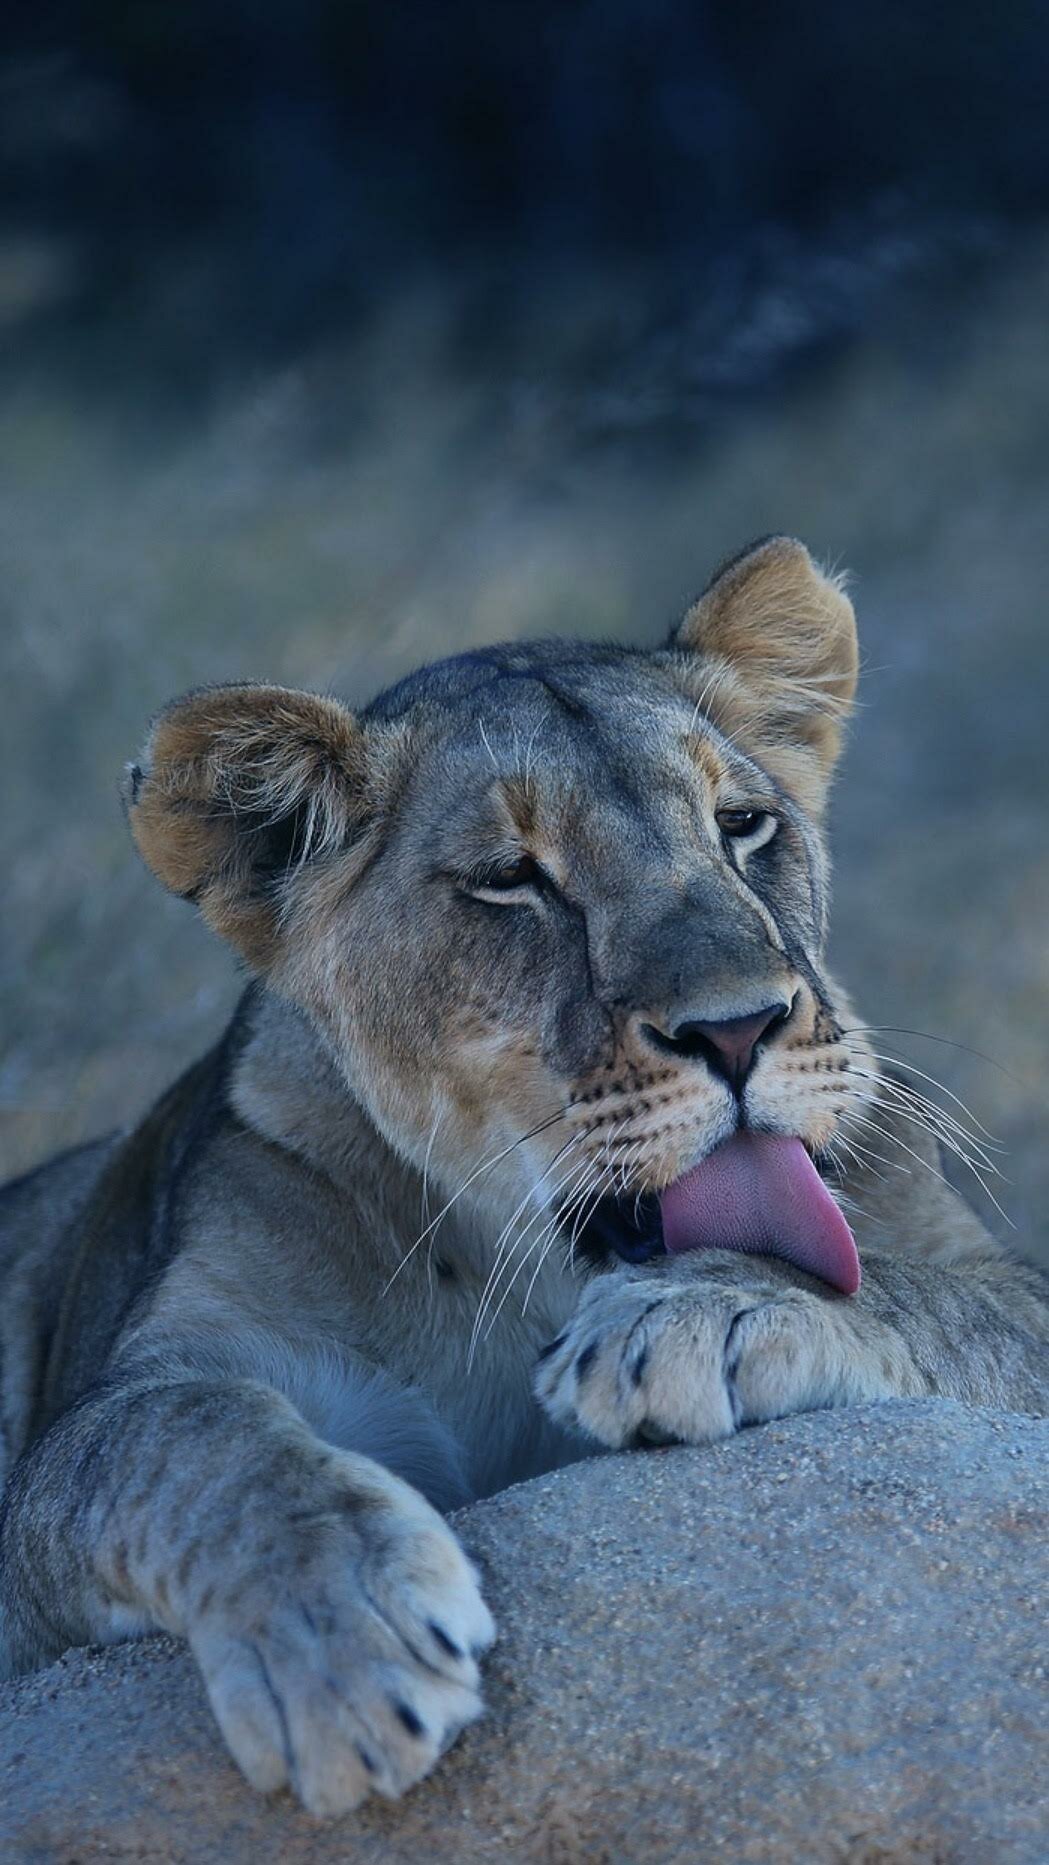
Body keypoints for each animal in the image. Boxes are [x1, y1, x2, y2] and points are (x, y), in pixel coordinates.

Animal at [0, 537, 1045, 1816]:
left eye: (743, 823)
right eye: (511, 879)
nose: (740, 1027)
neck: (529, 1269)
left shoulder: (978, 1275)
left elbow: (912, 1290)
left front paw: (705, 1311)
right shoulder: (104, 1426)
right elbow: (191, 1437)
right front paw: (346, 1648)